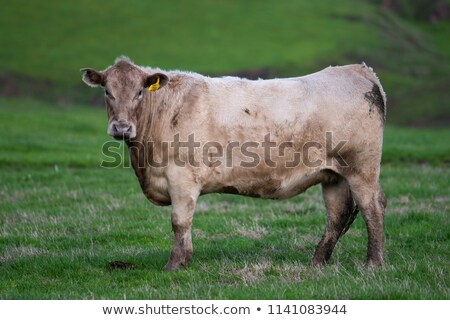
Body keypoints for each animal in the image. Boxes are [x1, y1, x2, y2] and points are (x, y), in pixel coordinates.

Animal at [81, 57, 386, 270]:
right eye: (107, 91)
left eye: (139, 93)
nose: (121, 127)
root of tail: (358, 69)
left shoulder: (181, 177)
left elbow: (180, 222)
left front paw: (175, 264)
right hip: (333, 175)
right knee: (337, 215)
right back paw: (317, 262)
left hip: (362, 169)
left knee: (373, 208)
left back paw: (373, 264)